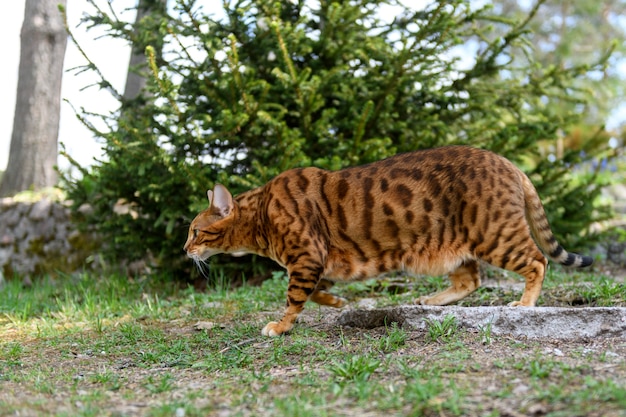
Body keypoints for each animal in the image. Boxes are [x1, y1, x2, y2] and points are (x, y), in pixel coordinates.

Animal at [182, 145, 588, 334]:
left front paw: (281, 326)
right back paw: (431, 300)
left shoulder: (307, 256)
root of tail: (510, 163)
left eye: (196, 230)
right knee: (470, 279)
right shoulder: (317, 262)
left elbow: (294, 297)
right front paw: (338, 302)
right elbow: (317, 292)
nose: (186, 249)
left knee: (537, 261)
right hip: (454, 245)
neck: (262, 213)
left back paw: (525, 303)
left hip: (493, 232)